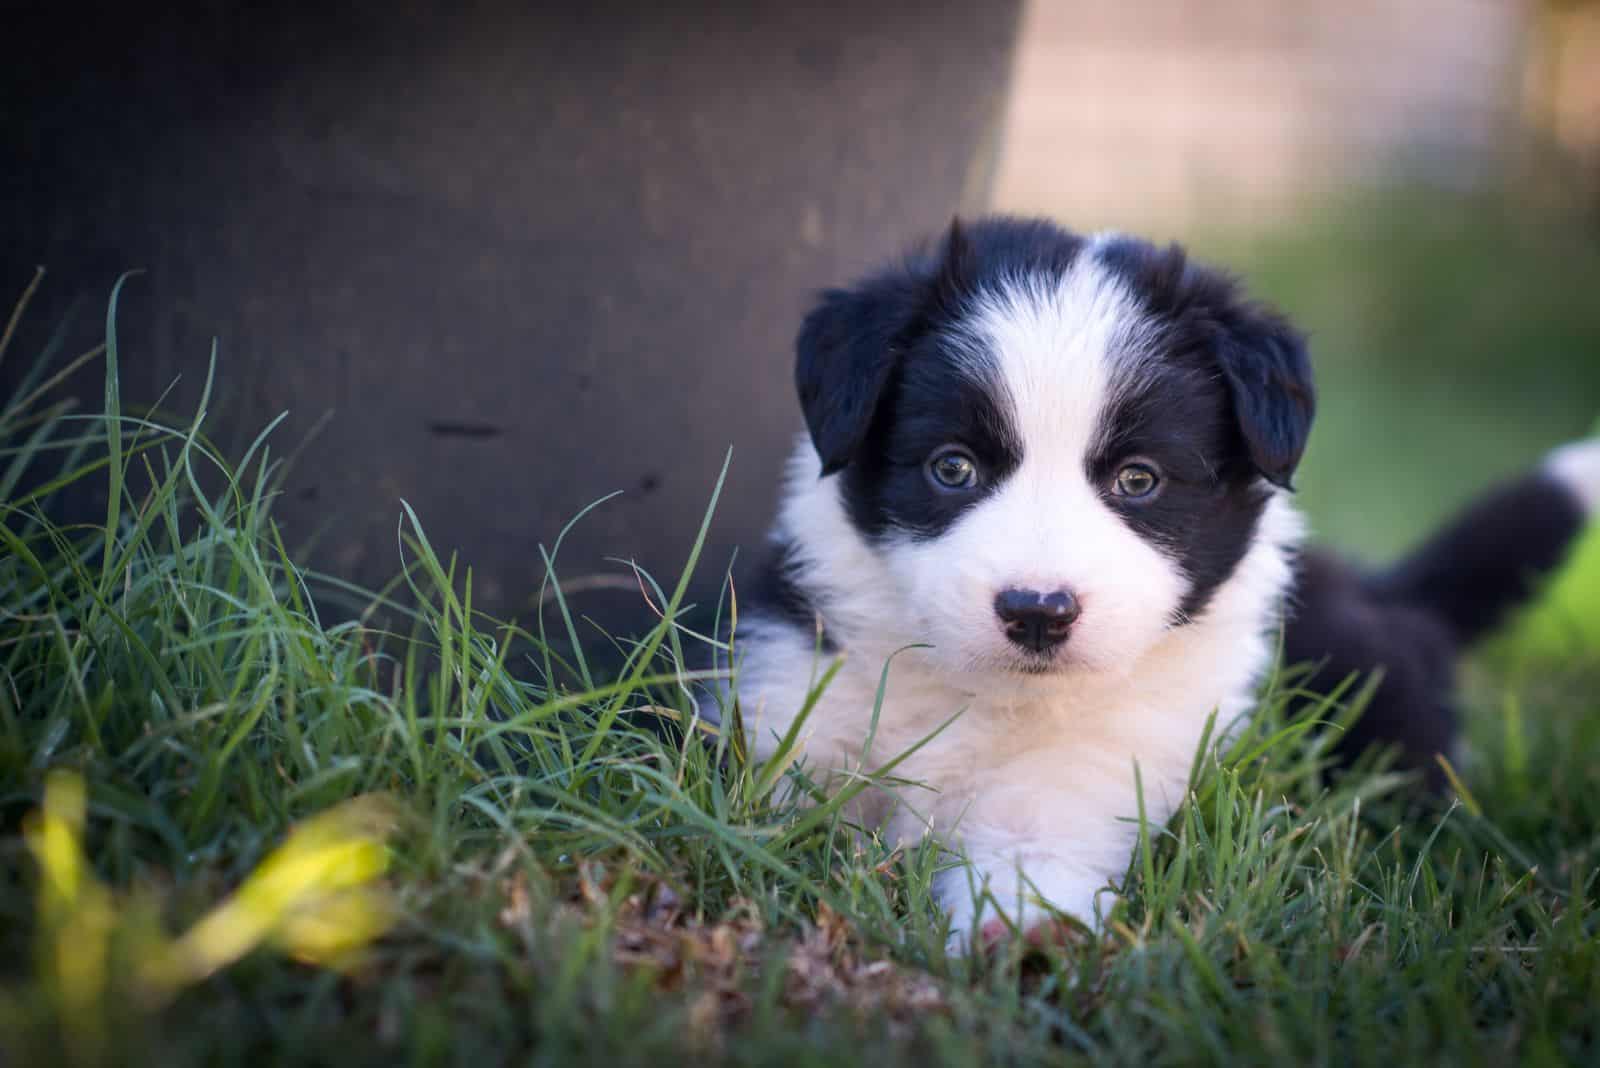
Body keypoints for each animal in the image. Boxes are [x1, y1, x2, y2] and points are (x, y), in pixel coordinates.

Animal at [726, 217, 1600, 952]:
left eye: (1139, 480)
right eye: (952, 468)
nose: (1037, 613)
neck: (986, 696)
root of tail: (1385, 593)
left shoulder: (1093, 777)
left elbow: (1034, 857)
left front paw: (1024, 939)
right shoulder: (785, 699)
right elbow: (755, 815)